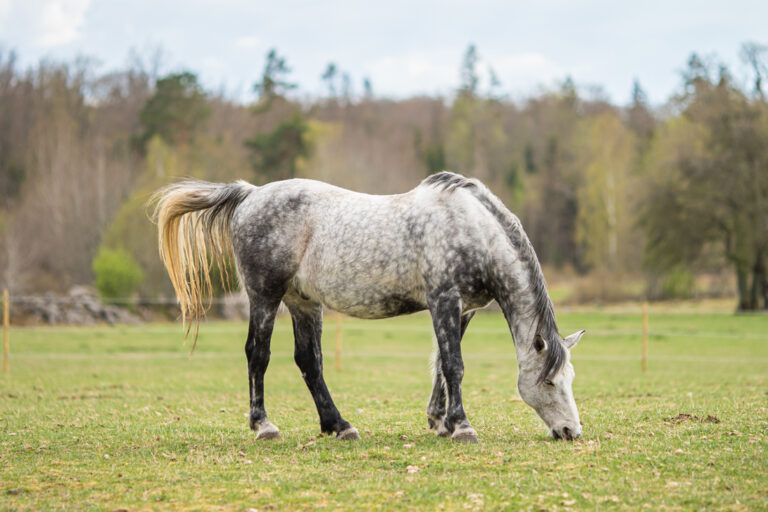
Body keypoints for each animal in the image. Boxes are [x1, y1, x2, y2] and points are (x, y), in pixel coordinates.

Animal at [153, 171, 585, 443]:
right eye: (549, 381)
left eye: (570, 379)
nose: (571, 432)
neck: (470, 227)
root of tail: (251, 193)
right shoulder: (444, 300)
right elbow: (454, 365)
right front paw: (462, 427)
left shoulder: (463, 309)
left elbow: (441, 367)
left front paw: (440, 421)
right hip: (265, 297)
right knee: (258, 355)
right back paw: (264, 426)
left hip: (303, 303)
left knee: (310, 362)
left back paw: (339, 425)